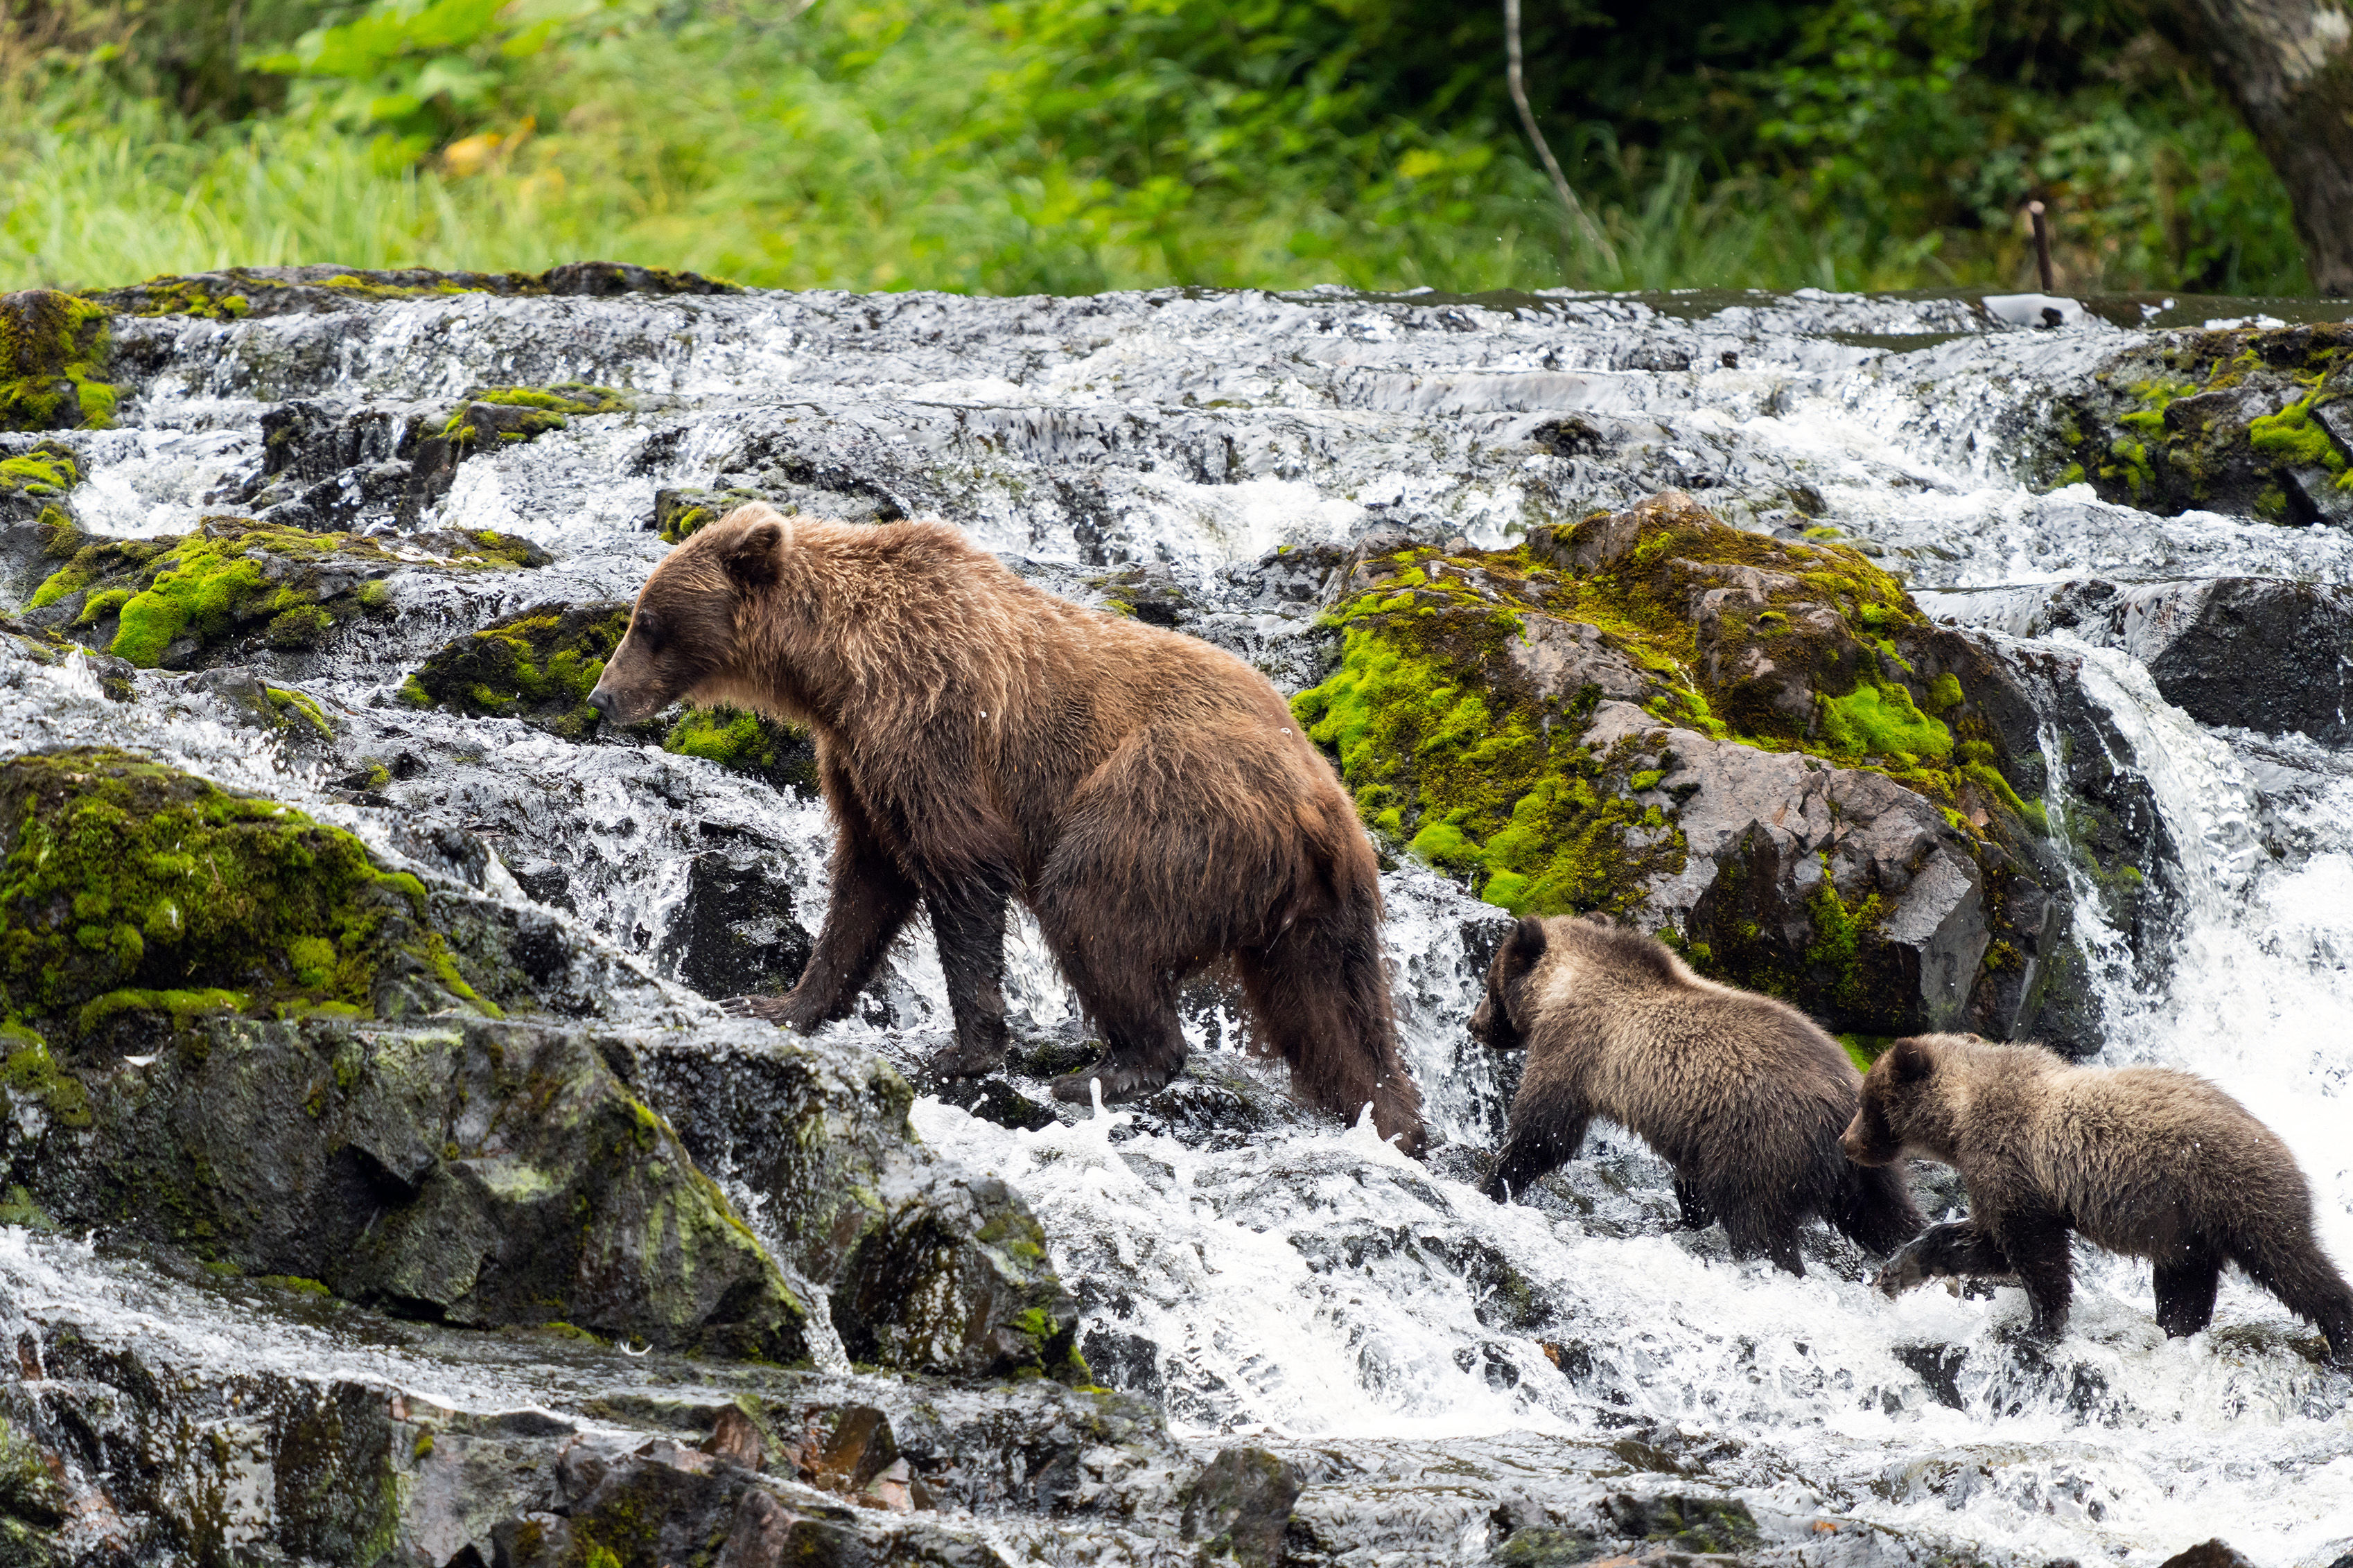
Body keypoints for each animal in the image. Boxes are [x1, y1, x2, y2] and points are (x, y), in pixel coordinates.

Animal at [585, 503, 1427, 1153]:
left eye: (646, 621)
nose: (600, 697)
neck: (833, 672)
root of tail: (1324, 801)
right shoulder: (859, 760)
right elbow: (864, 886)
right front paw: (778, 1003)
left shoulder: (930, 722)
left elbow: (959, 871)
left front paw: (965, 1050)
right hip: (1312, 908)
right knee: (1334, 1016)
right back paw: (1388, 1118)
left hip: (1171, 806)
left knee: (1089, 903)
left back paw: (1109, 1067)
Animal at [1469, 914, 1923, 1274]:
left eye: (1489, 982)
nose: (1475, 1025)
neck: (1563, 986)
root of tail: (1843, 1100)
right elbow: (1691, 1188)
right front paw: (1682, 1216)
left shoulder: (1574, 1050)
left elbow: (1545, 1133)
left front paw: (1493, 1181)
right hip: (1866, 1158)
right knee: (1886, 1214)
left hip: (1764, 1143)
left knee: (1758, 1223)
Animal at [1845, 1033, 2353, 1362]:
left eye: (1866, 1100)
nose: (1844, 1142)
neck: (1960, 1116)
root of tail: (2284, 1147)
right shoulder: (2002, 1175)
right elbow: (1983, 1242)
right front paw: (1897, 1269)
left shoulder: (2012, 1161)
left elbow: (2033, 1251)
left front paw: (2039, 1328)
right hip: (2183, 1227)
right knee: (2185, 1286)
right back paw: (2176, 1332)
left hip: (2232, 1192)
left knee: (2292, 1264)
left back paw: (2341, 1335)